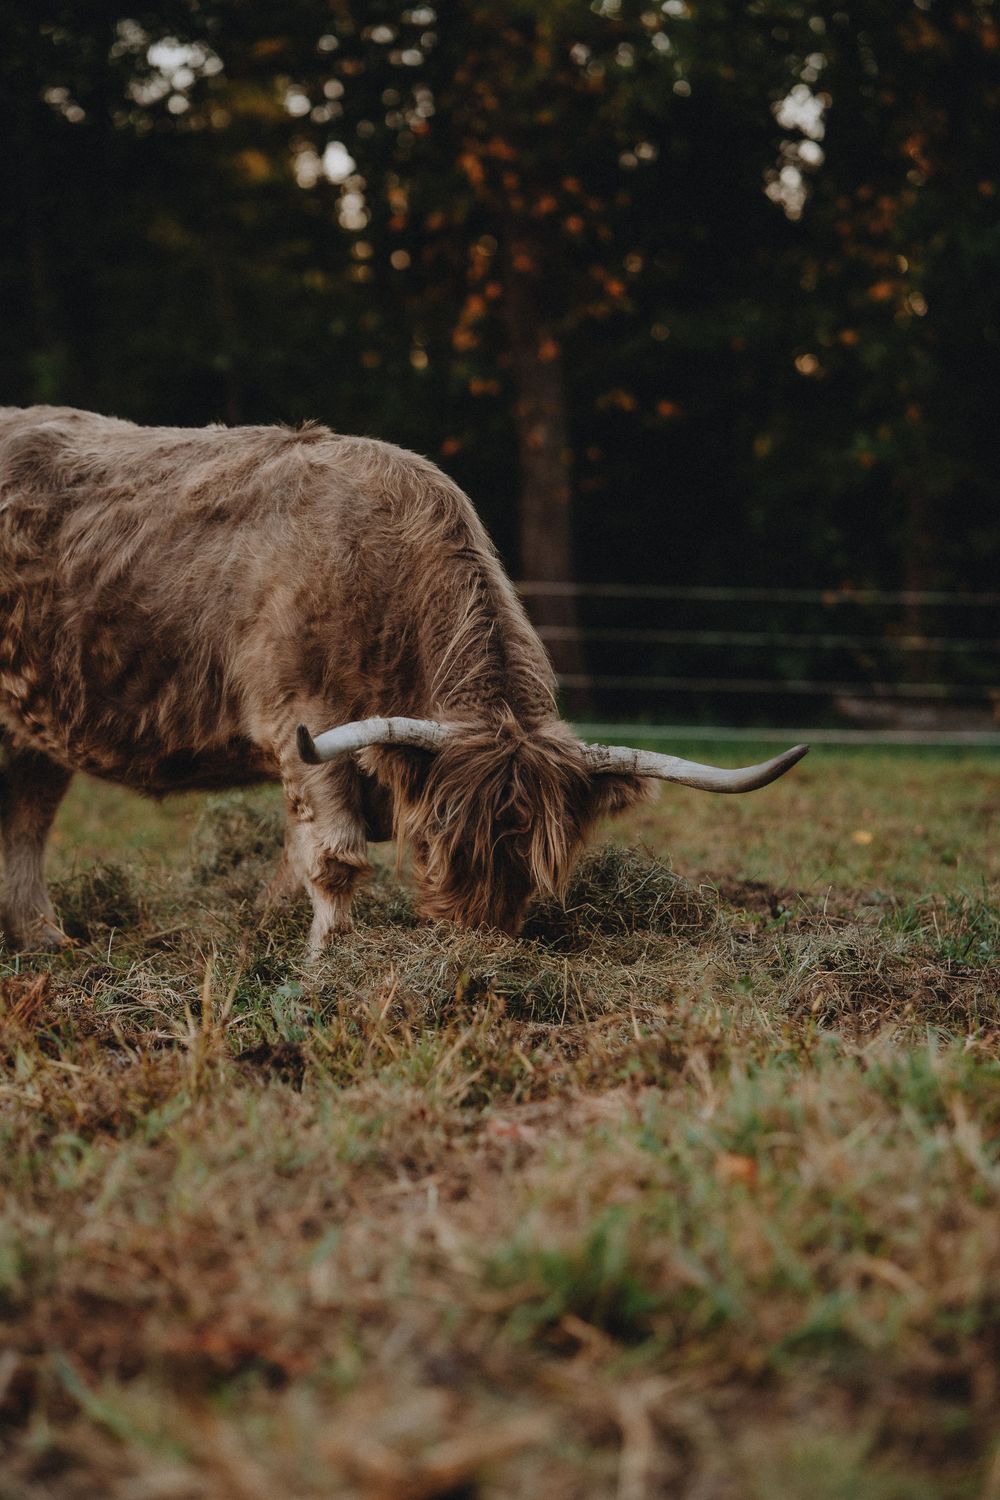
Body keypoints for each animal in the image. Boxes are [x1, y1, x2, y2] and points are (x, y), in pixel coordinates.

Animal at [0, 405, 807, 955]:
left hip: (36, 729)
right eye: (444, 839)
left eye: (538, 856)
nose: (480, 941)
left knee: (28, 821)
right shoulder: (301, 729)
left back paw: (47, 940)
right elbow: (332, 859)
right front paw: (330, 961)